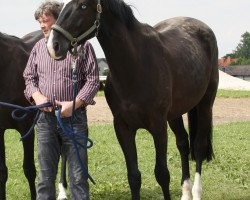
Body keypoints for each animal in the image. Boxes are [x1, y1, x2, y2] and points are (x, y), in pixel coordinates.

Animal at [47, 0, 219, 199]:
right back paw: (185, 192)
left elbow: (162, 174)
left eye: (82, 6)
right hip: (175, 112)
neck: (136, 65)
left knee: (198, 146)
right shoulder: (123, 127)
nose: (53, 45)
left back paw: (196, 192)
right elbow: (134, 176)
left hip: (205, 104)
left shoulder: (158, 126)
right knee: (183, 143)